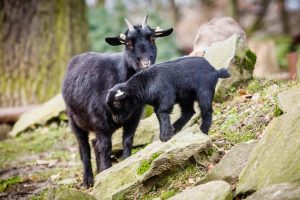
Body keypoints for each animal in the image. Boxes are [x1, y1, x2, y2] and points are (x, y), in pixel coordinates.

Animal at [61, 15, 171, 188]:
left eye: (153, 38)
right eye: (128, 43)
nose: (145, 63)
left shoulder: (134, 118)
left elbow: (127, 141)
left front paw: (124, 164)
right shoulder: (100, 122)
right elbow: (106, 147)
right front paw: (107, 172)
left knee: (94, 143)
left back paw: (98, 172)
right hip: (74, 119)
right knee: (84, 148)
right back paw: (88, 180)